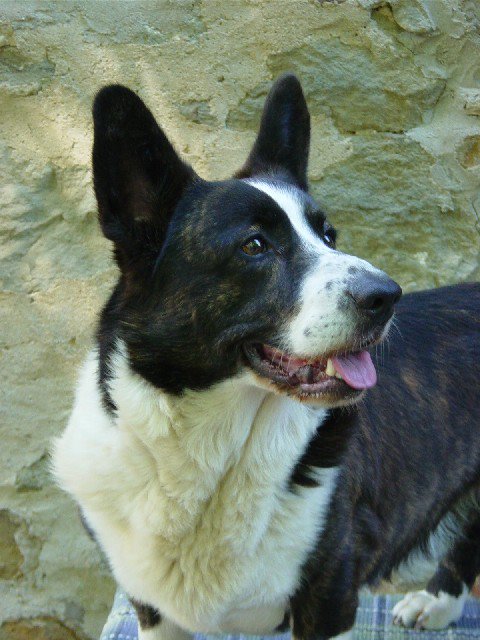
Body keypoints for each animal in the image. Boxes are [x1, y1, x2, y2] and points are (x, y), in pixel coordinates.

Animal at [52, 75, 480, 640]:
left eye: (329, 236)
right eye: (255, 245)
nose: (388, 296)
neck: (216, 446)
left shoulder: (329, 595)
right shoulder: (152, 607)